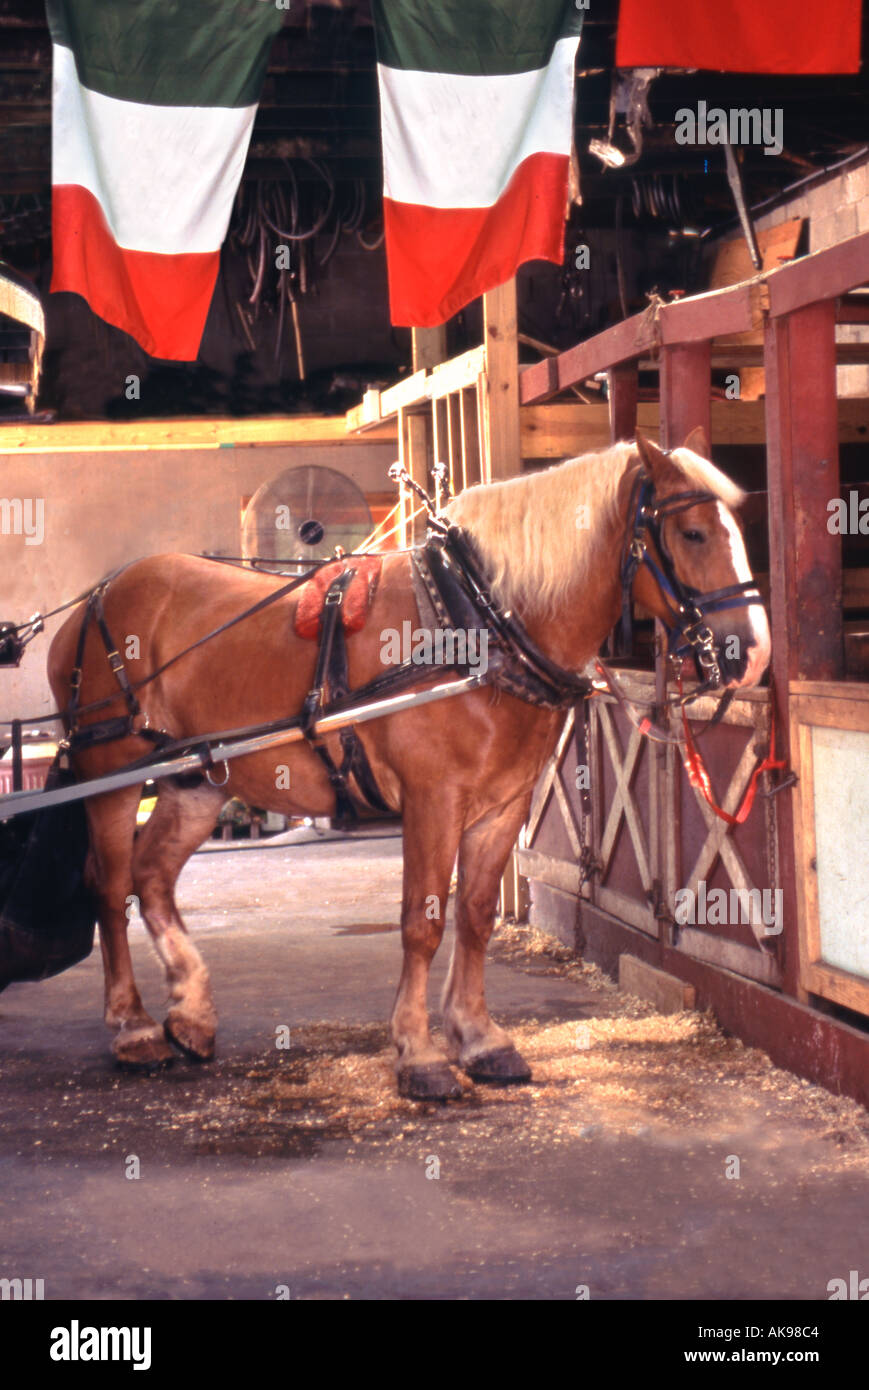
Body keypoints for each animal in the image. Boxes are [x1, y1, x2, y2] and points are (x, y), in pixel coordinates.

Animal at [46, 431, 771, 1100]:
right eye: (693, 532)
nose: (754, 651)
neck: (480, 623)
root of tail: (95, 600)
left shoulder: (502, 805)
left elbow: (474, 915)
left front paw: (479, 1039)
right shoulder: (432, 799)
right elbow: (422, 922)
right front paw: (420, 1055)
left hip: (195, 781)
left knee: (152, 877)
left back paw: (191, 1015)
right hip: (110, 773)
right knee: (110, 886)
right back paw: (135, 1028)